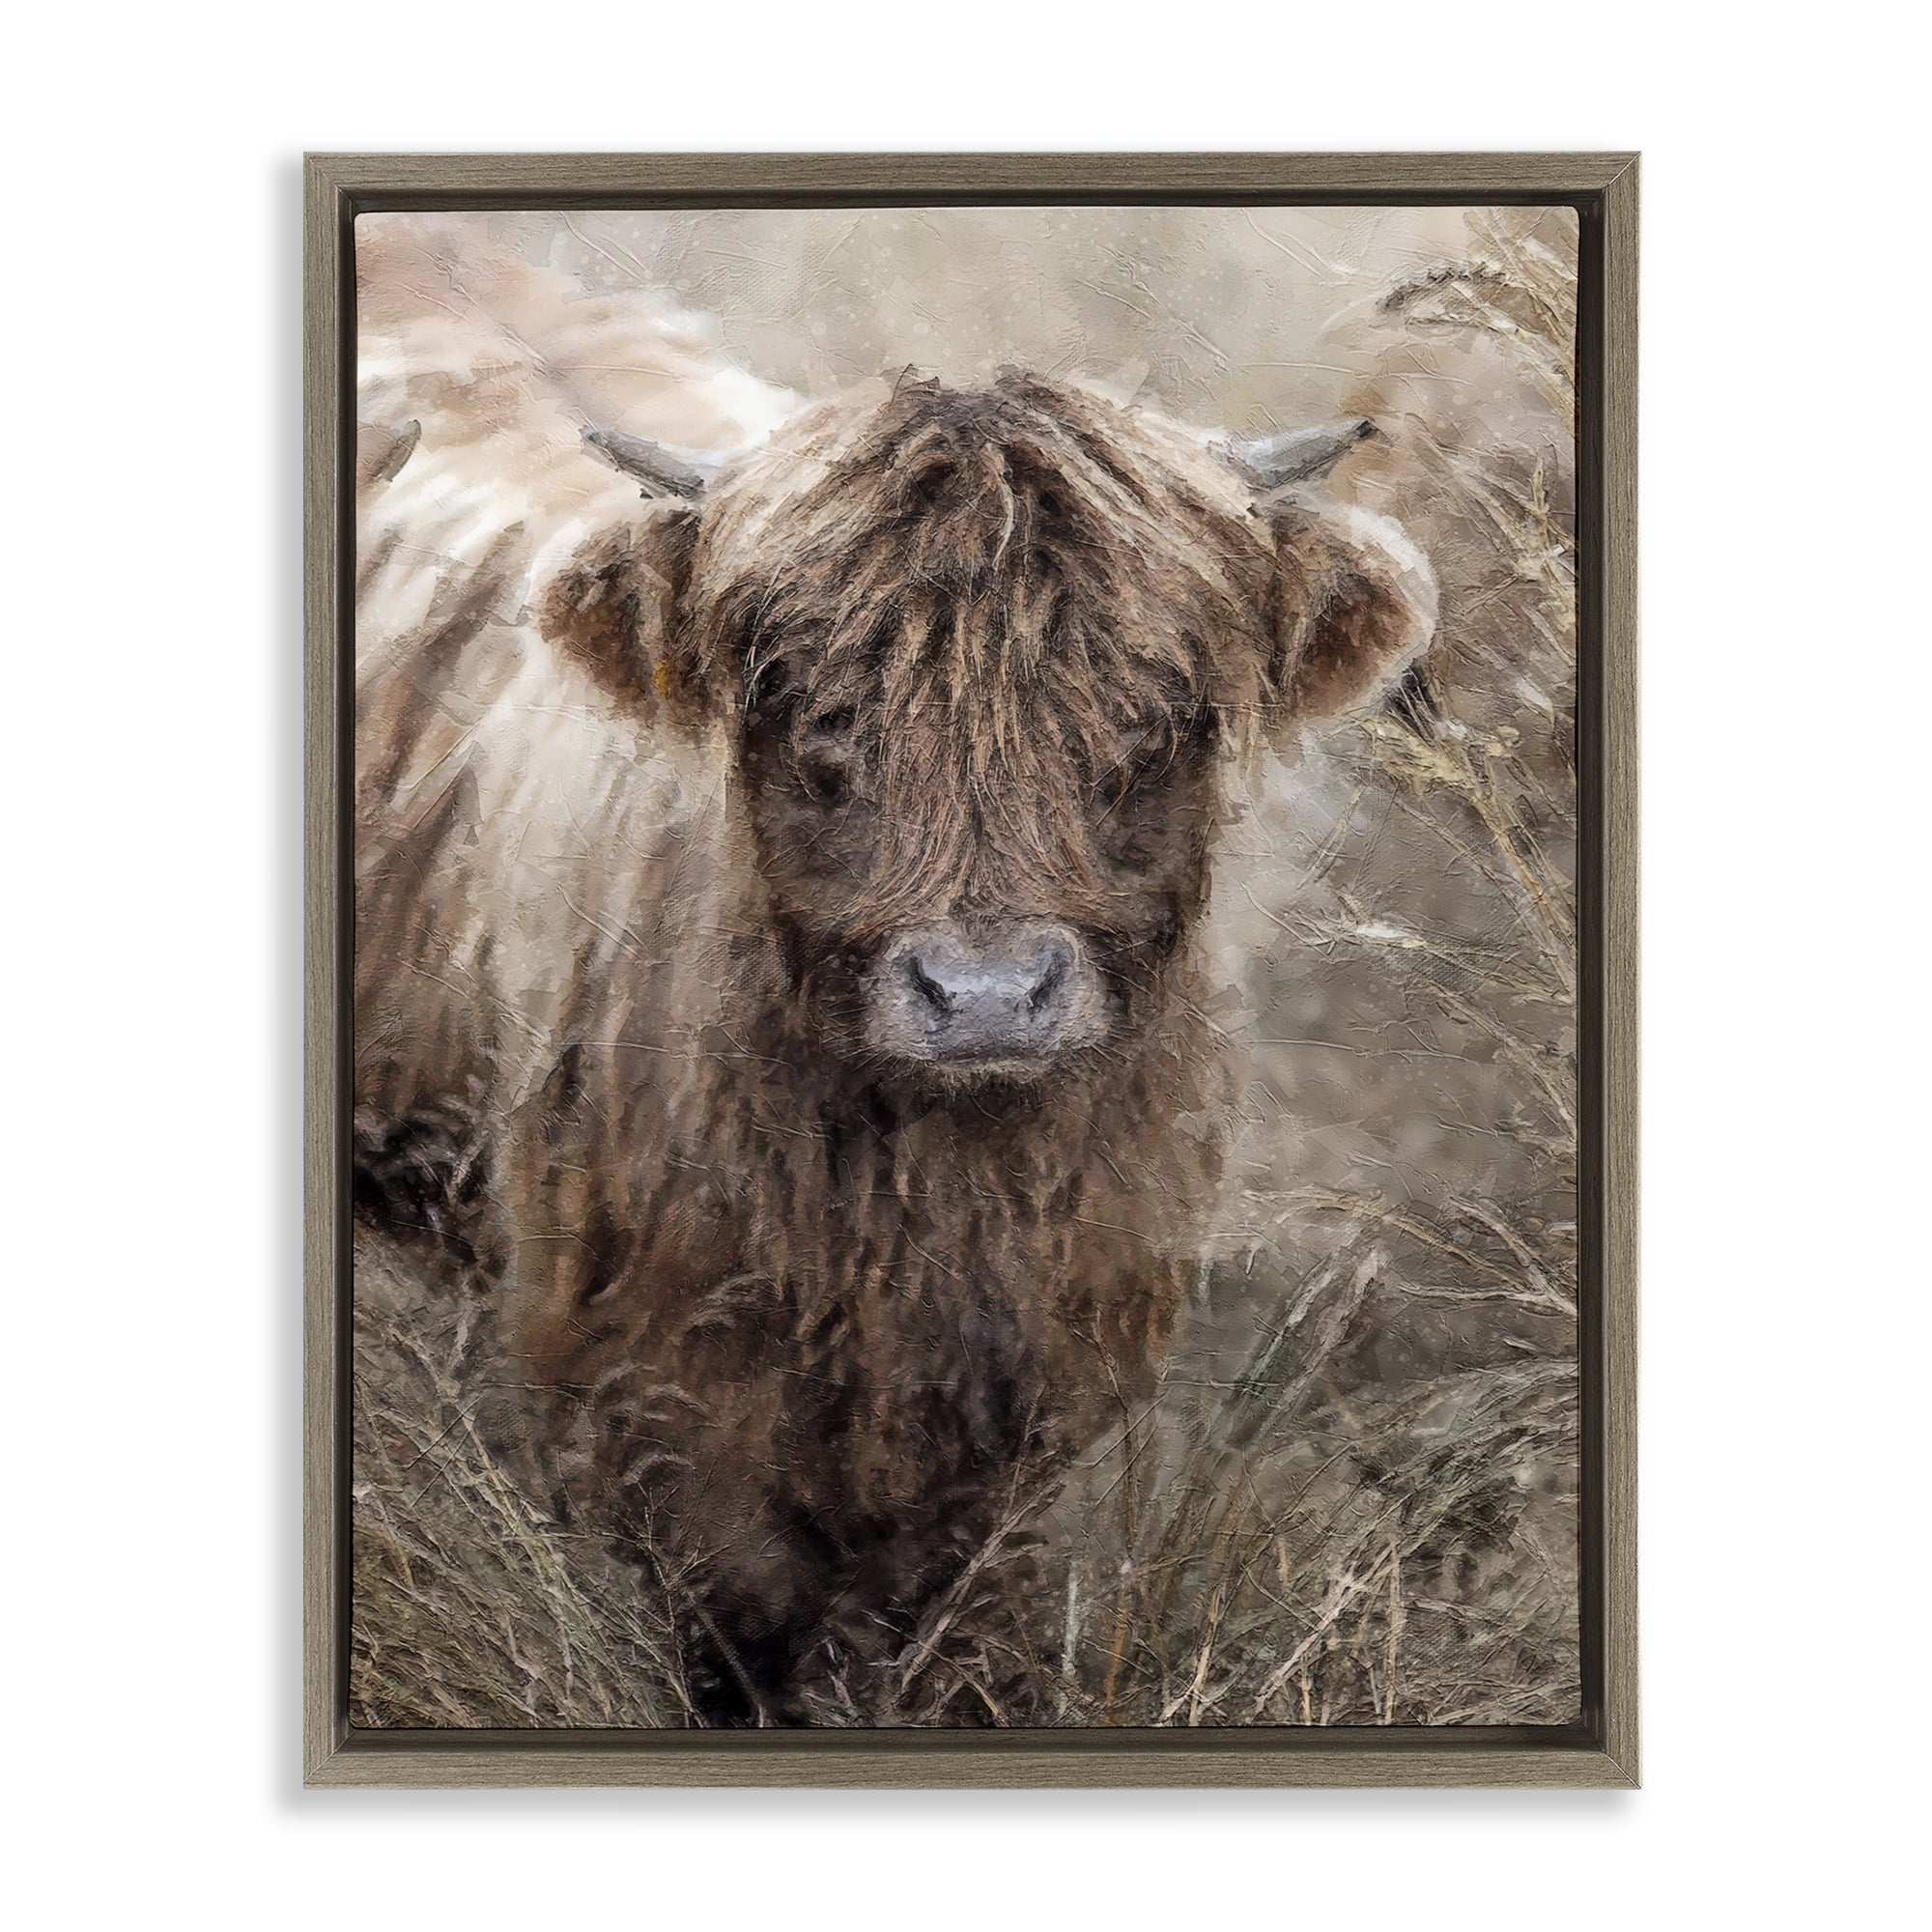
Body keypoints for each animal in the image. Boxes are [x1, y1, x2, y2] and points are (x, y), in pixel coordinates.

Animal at [356, 355, 1435, 1723]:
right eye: (811, 711)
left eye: (1154, 716)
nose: (984, 993)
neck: (926, 1197)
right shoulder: (636, 1375)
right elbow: (736, 1619)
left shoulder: (1030, 1400)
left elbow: (958, 1622)